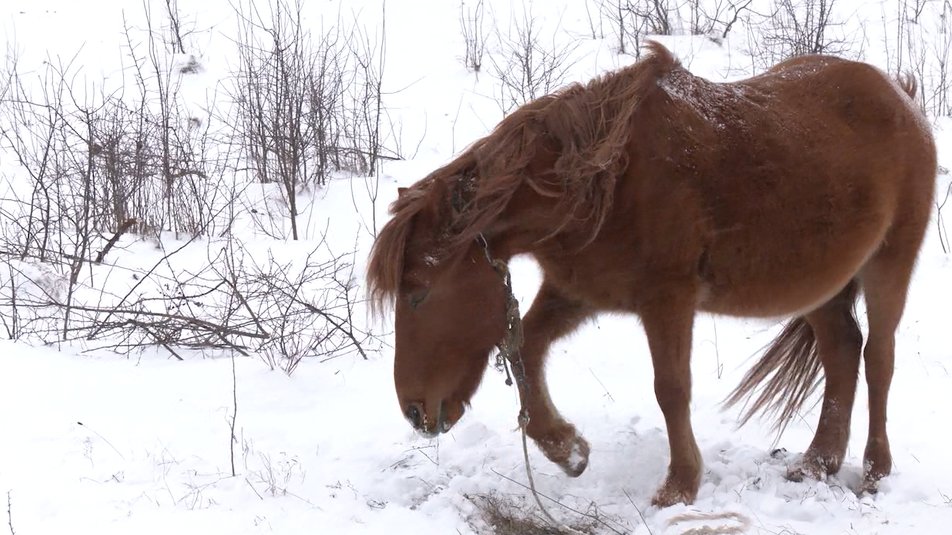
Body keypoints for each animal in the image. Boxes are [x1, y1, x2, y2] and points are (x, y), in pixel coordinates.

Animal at [366, 43, 936, 506]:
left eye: (418, 294)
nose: (414, 411)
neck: (601, 186)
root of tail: (901, 97)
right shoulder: (577, 291)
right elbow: (524, 348)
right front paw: (567, 449)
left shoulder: (668, 300)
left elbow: (671, 388)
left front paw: (679, 485)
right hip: (819, 283)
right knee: (841, 350)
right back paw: (817, 463)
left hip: (889, 263)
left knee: (878, 358)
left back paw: (874, 471)